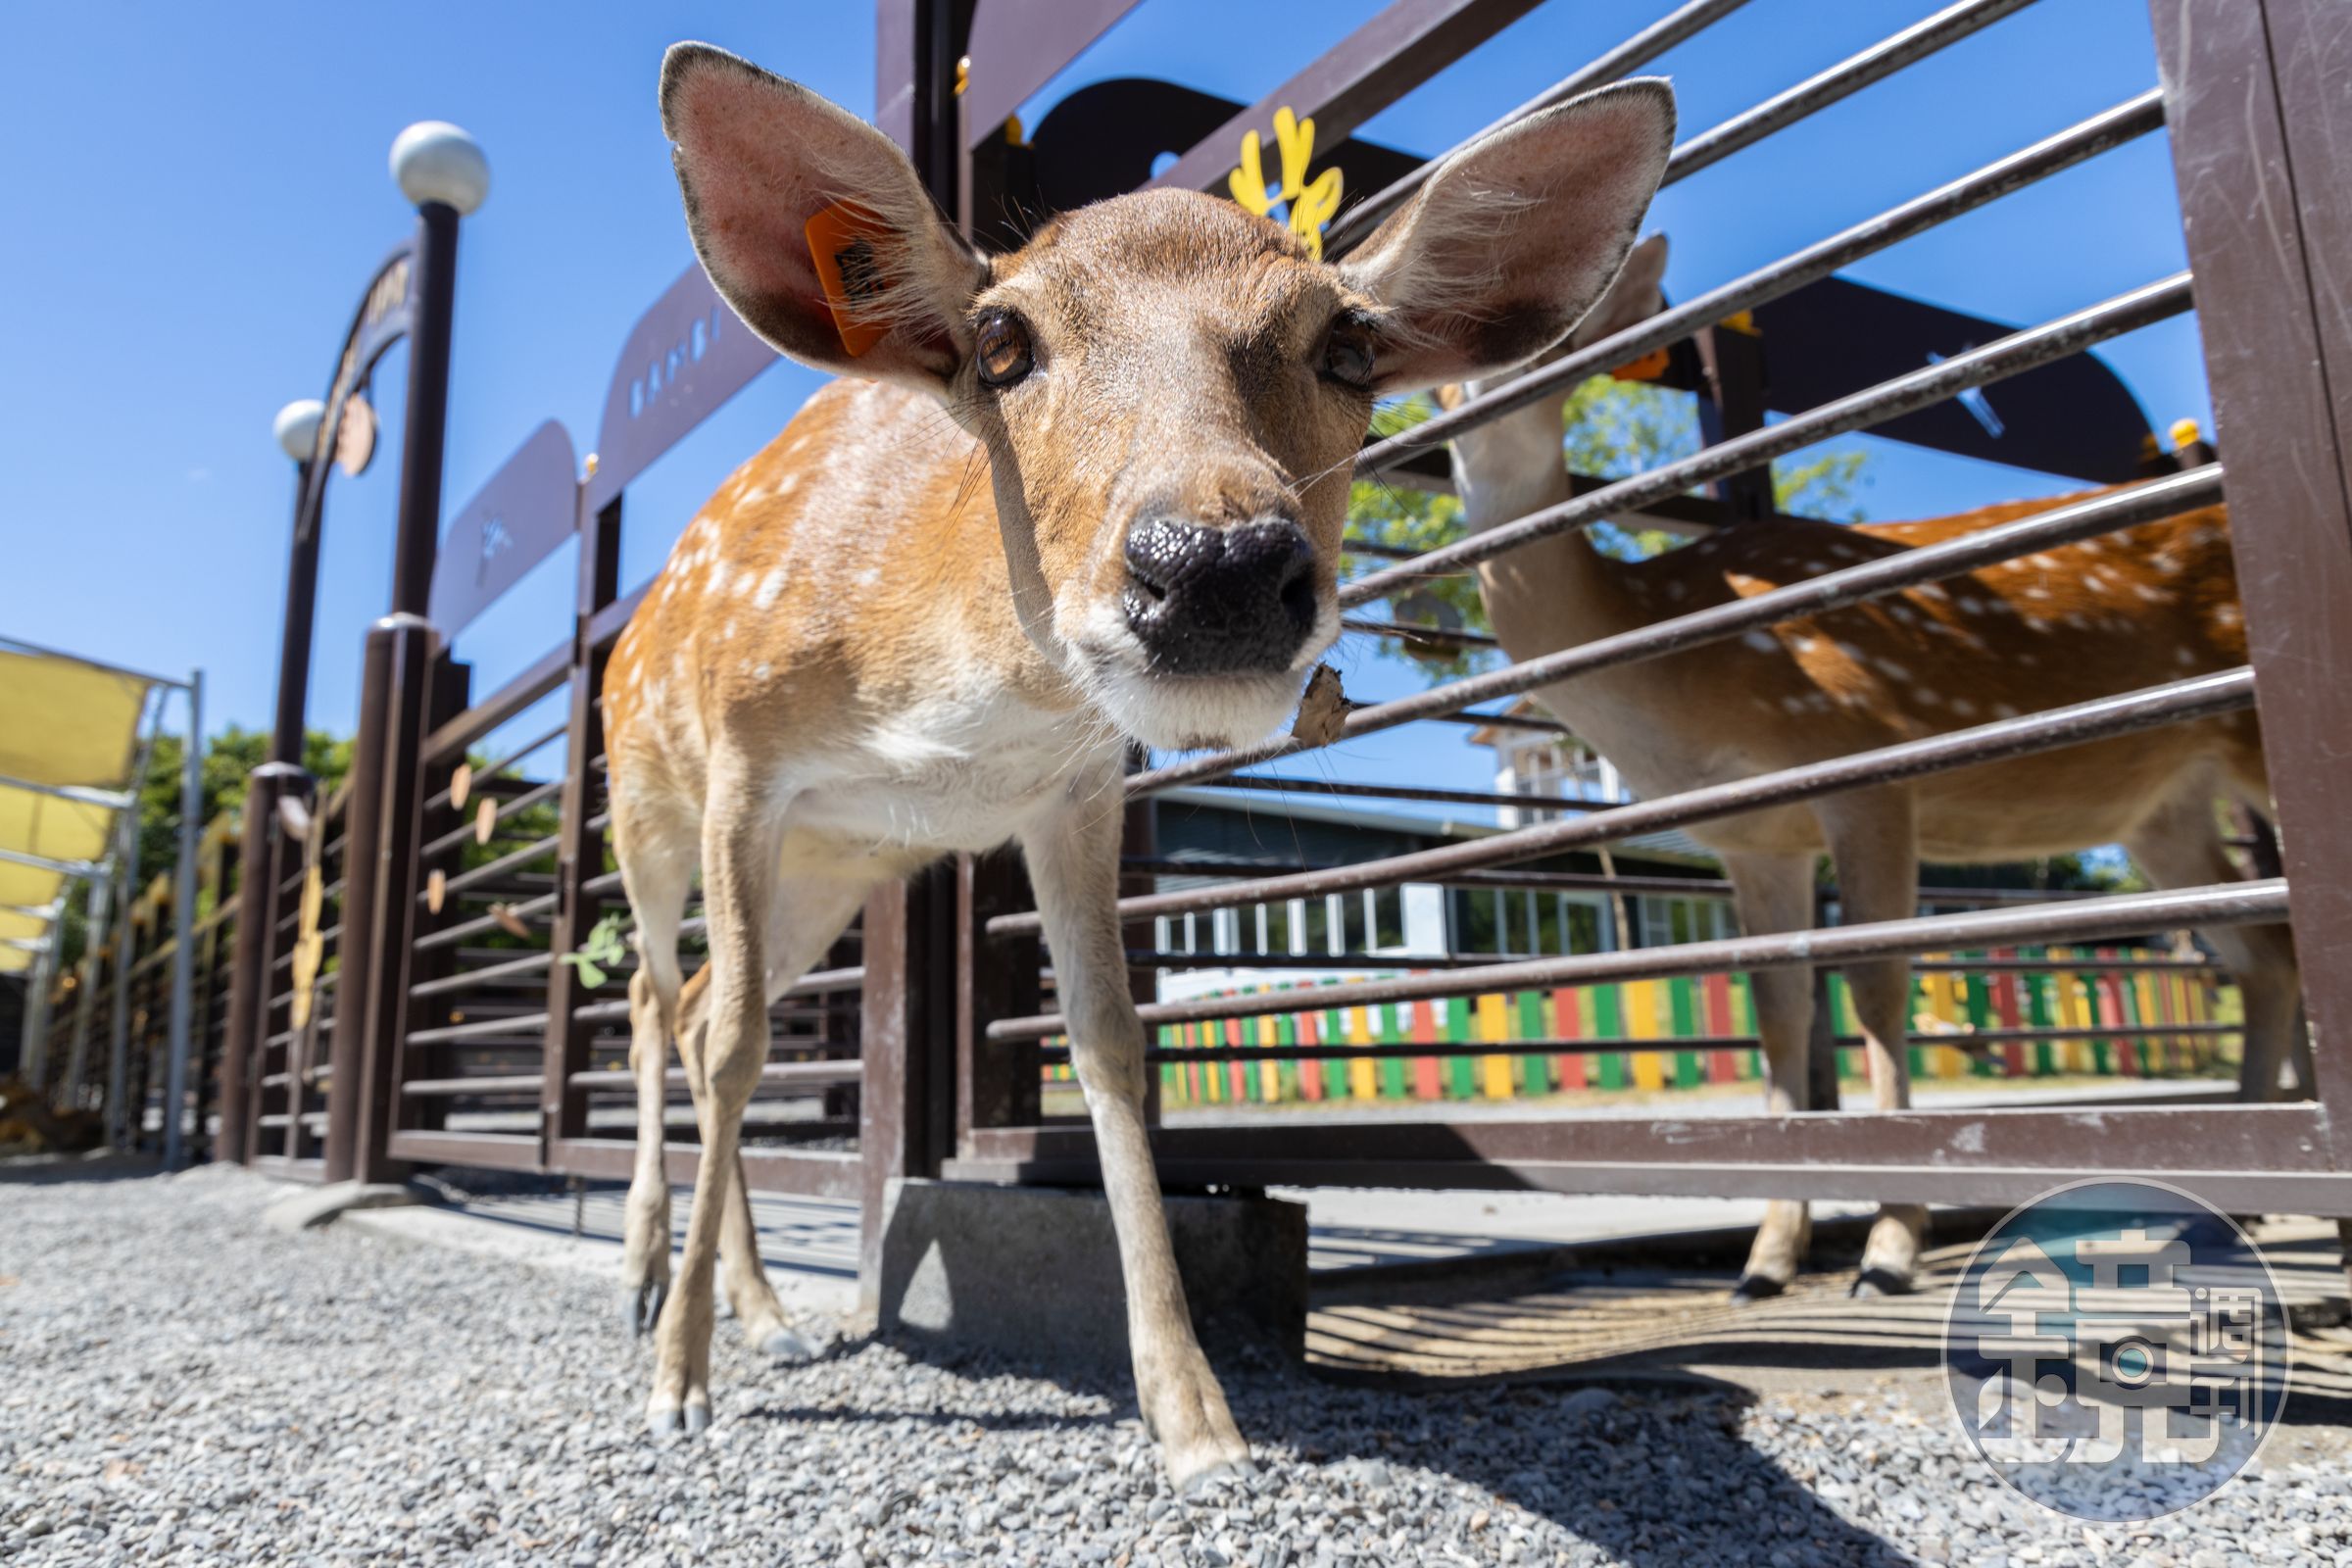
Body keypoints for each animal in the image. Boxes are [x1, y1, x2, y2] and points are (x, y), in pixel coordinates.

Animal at [600, 42, 1678, 1483]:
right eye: (1002, 341)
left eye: (1348, 342)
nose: (1215, 567)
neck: (939, 696)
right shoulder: (745, 755)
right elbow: (730, 1052)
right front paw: (675, 1387)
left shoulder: (1074, 791)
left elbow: (1111, 1047)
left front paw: (1196, 1414)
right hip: (647, 814)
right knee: (661, 1003)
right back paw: (652, 1285)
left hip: (834, 871)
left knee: (710, 995)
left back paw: (764, 1308)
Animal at [1443, 233, 2303, 1303]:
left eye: (1553, 340)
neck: (1675, 668)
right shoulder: (1754, 840)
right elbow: (1779, 1014)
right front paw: (1768, 1257)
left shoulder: (1867, 761)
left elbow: (1879, 983)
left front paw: (1890, 1246)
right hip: (2164, 809)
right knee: (2265, 951)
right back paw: (2233, 1210)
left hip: (2249, 735)